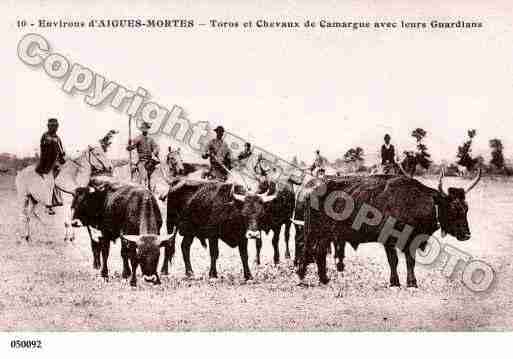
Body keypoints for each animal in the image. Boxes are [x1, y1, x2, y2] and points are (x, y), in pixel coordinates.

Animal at [292, 170, 480, 288]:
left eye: (466, 208)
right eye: (453, 208)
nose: (466, 234)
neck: (414, 200)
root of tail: (311, 189)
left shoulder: (411, 241)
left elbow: (410, 261)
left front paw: (411, 282)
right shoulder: (389, 240)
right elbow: (394, 261)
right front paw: (396, 282)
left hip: (325, 235)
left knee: (319, 252)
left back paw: (324, 279)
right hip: (315, 232)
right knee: (307, 249)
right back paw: (302, 277)